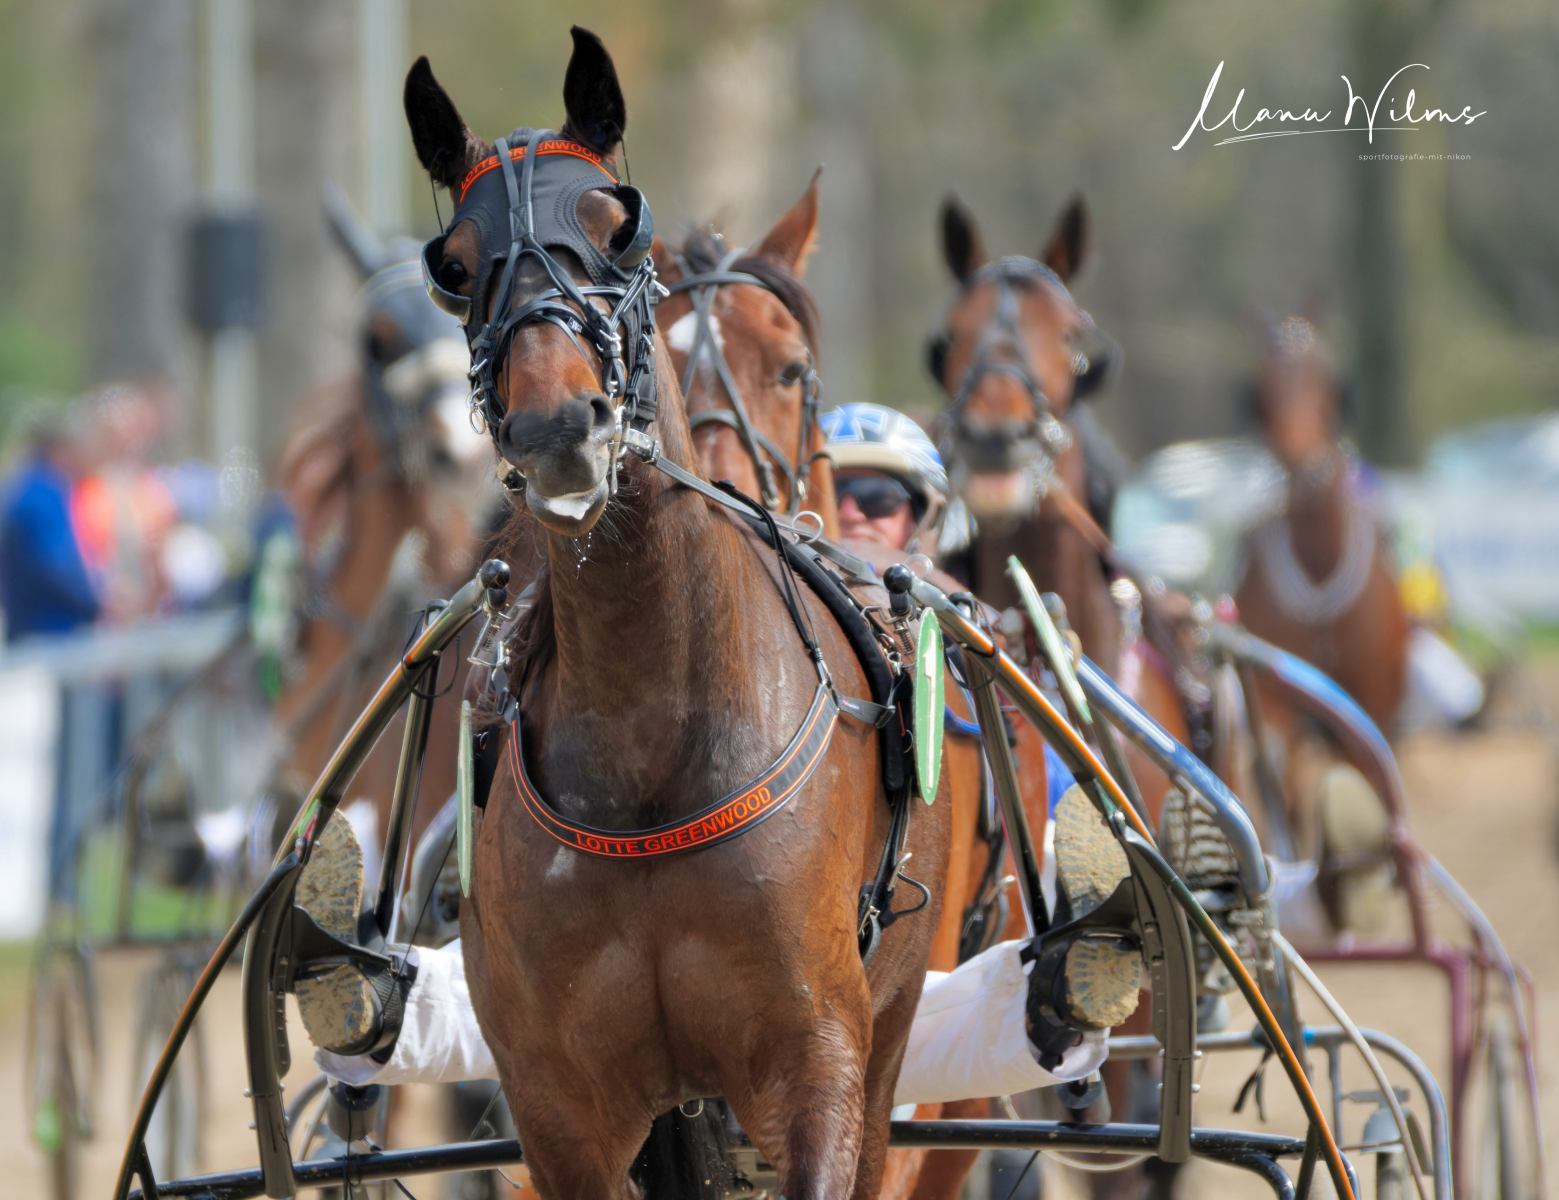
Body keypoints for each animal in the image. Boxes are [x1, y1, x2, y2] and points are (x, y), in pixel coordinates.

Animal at [408, 29, 950, 1199]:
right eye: (454, 268)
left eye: (620, 226)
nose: (557, 425)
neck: (653, 749)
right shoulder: (558, 1103)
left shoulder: (817, 1057)